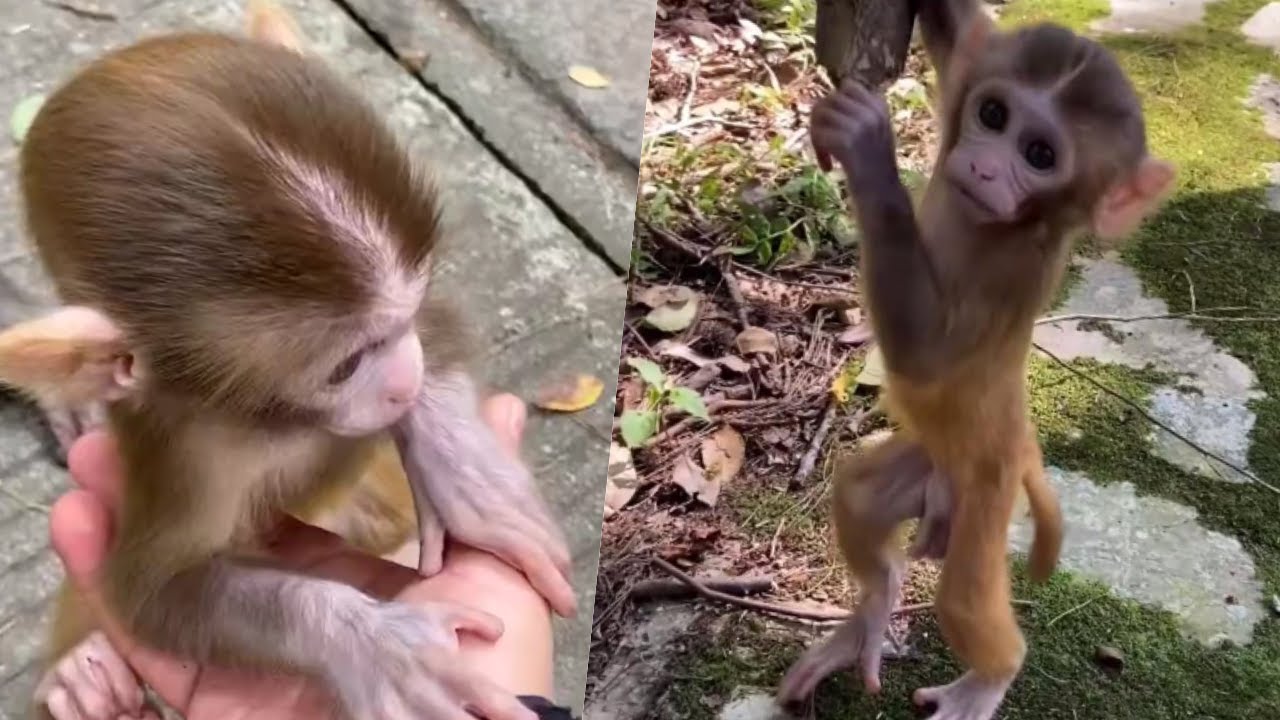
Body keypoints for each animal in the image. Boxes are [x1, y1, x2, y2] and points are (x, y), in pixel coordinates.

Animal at [2, 3, 575, 719]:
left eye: (401, 320)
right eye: (345, 366)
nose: (404, 384)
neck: (272, 416)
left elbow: (441, 325)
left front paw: (466, 472)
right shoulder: (186, 453)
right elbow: (153, 592)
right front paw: (369, 643)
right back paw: (83, 673)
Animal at [777, 2, 1175, 718]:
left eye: (1039, 155)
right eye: (993, 115)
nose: (986, 168)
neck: (1004, 224)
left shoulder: (1012, 276)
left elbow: (925, 354)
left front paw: (870, 150)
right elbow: (957, 34)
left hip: (988, 488)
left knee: (963, 600)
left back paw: (985, 681)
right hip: (933, 463)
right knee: (860, 496)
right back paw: (872, 608)